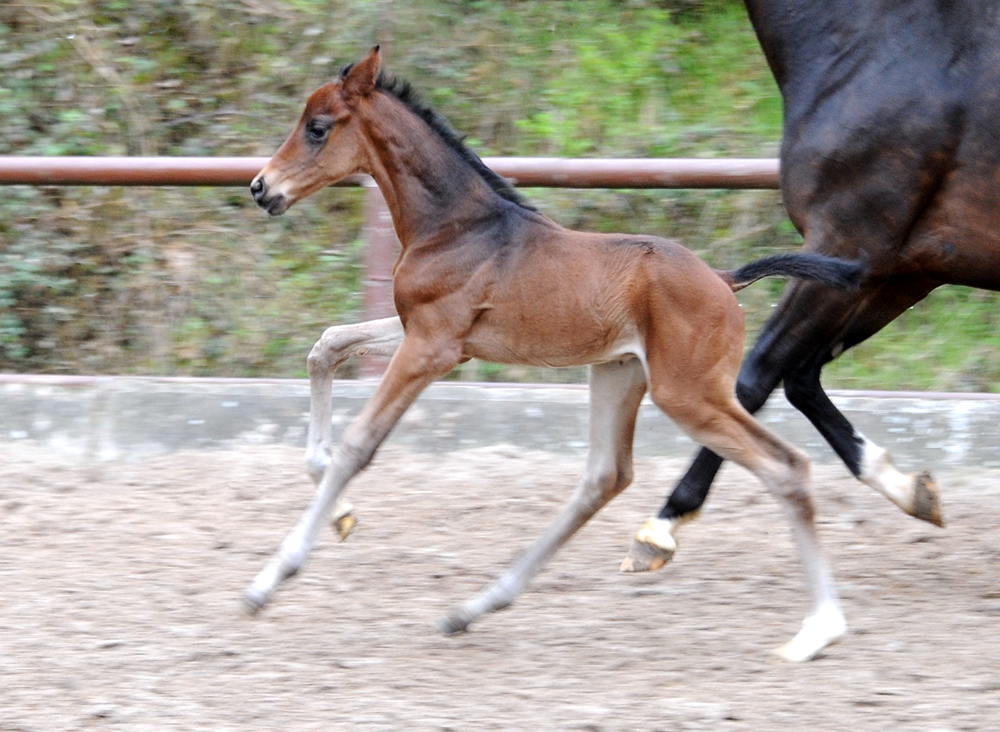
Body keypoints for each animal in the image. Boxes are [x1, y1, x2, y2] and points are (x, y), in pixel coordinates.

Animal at [246, 48, 864, 660]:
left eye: (318, 127)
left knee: (785, 467)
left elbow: (358, 445)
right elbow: (327, 346)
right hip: (619, 372)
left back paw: (821, 627)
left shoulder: (431, 348)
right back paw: (472, 608)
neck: (456, 226)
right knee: (604, 477)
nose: (260, 187)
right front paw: (339, 514)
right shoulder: (434, 338)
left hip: (686, 392)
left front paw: (270, 579)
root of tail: (722, 278)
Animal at [620, 0, 996, 572]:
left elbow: (753, 379)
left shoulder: (846, 241)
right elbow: (800, 375)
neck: (879, 44)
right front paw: (910, 488)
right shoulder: (899, 271)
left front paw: (660, 528)